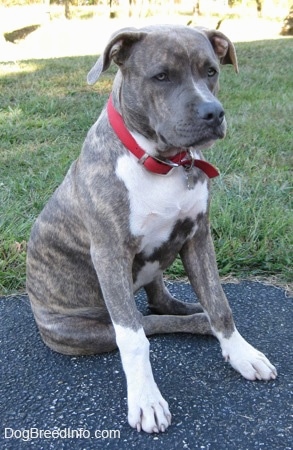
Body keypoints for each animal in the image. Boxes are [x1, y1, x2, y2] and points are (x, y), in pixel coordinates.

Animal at [25, 24, 276, 432]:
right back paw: (192, 322)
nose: (213, 112)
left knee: (161, 301)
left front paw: (241, 354)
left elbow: (220, 304)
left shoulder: (198, 238)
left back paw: (195, 314)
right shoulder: (110, 254)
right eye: (161, 76)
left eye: (211, 71)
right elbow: (133, 339)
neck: (163, 162)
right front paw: (146, 400)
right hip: (81, 329)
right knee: (147, 322)